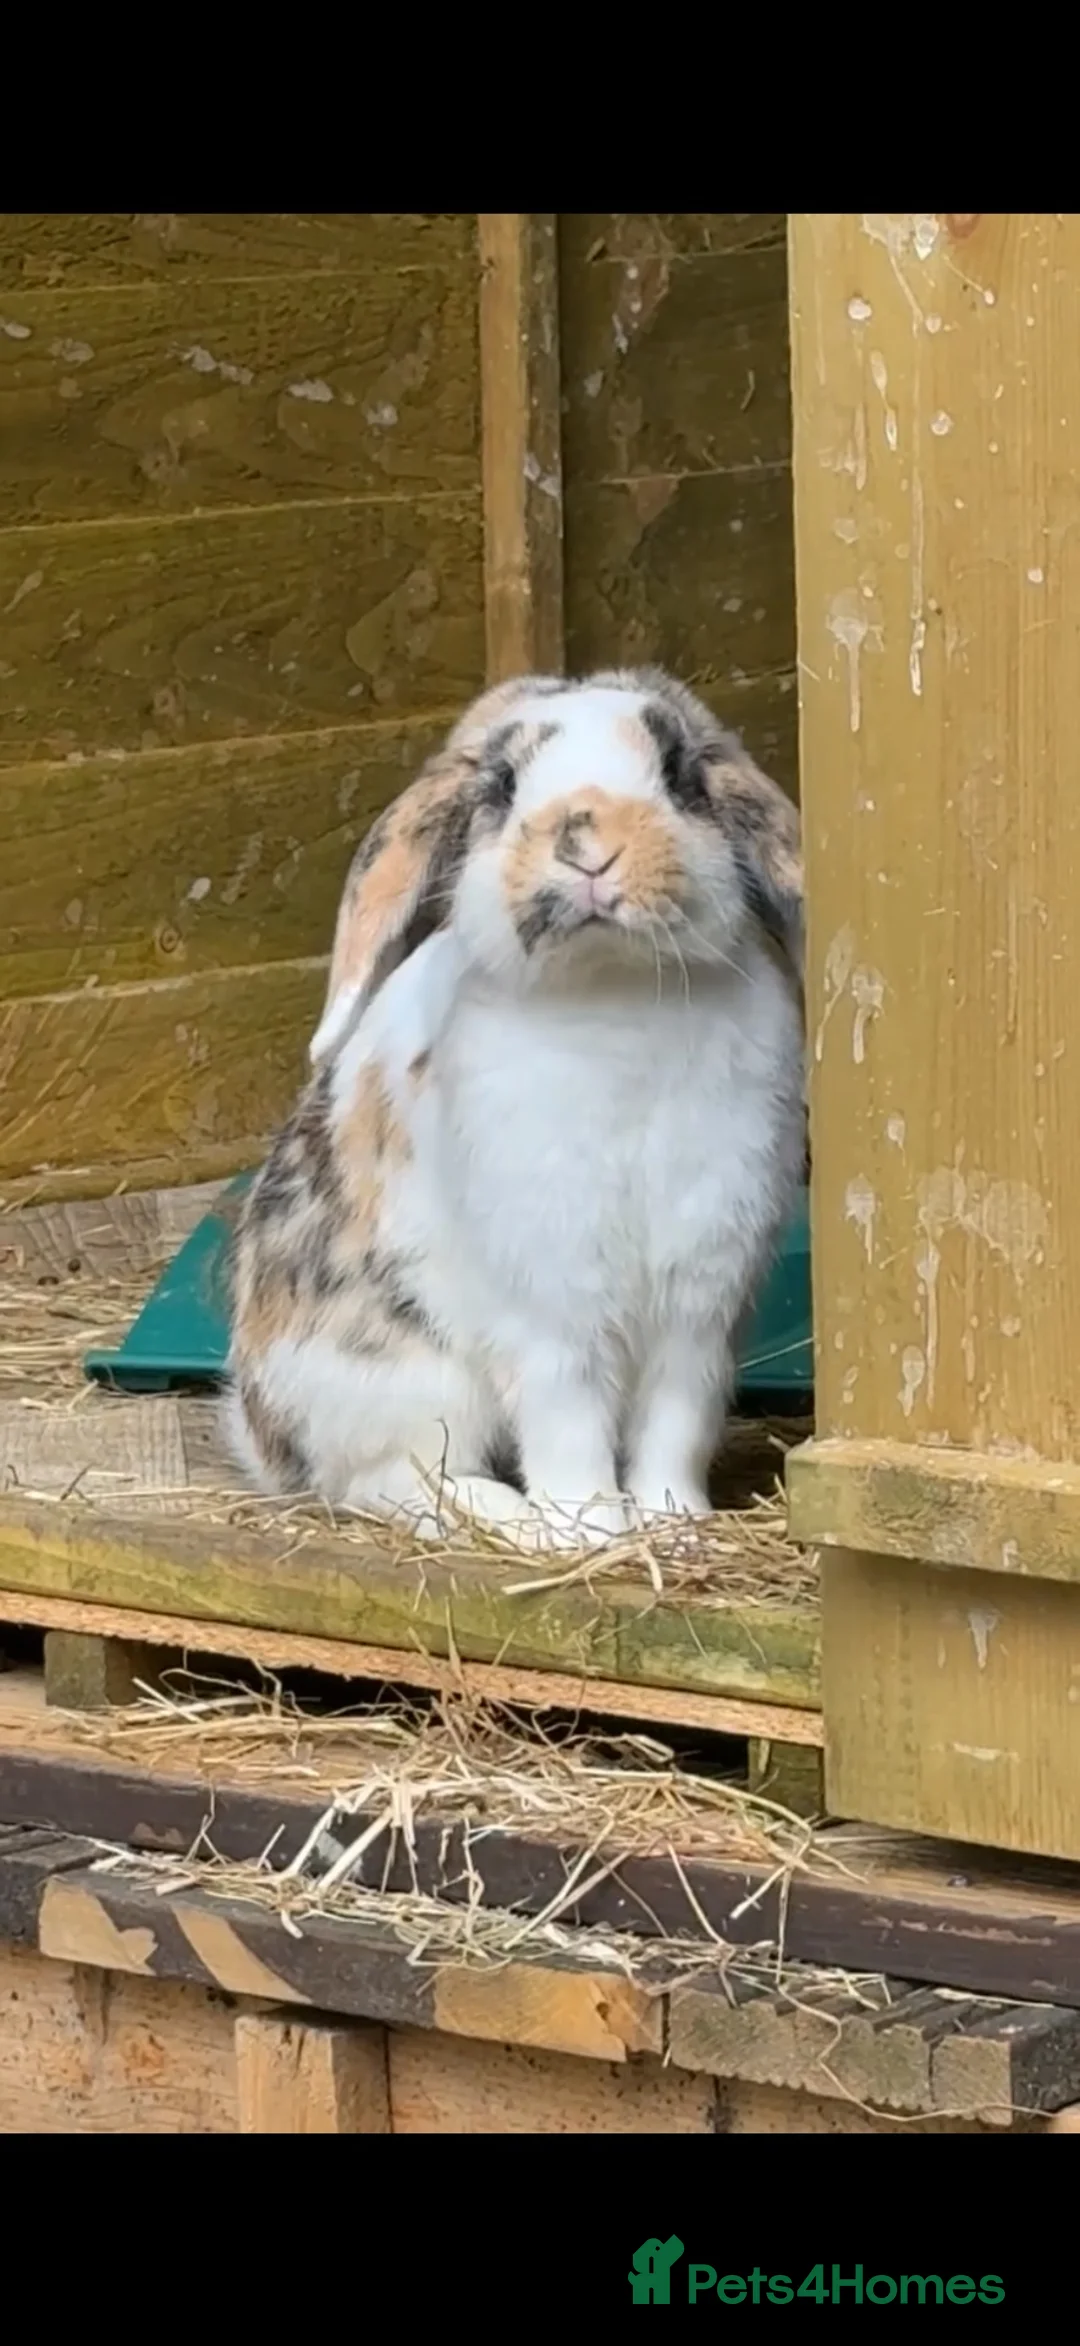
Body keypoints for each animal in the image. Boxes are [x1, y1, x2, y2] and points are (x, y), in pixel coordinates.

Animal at [225, 665, 806, 1552]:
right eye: (501, 784)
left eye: (679, 773)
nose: (588, 842)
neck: (613, 992)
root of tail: (261, 1434)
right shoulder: (550, 1306)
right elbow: (567, 1421)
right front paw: (590, 1531)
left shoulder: (700, 1305)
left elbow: (675, 1425)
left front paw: (673, 1526)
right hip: (411, 1378)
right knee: (392, 1481)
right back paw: (513, 1518)